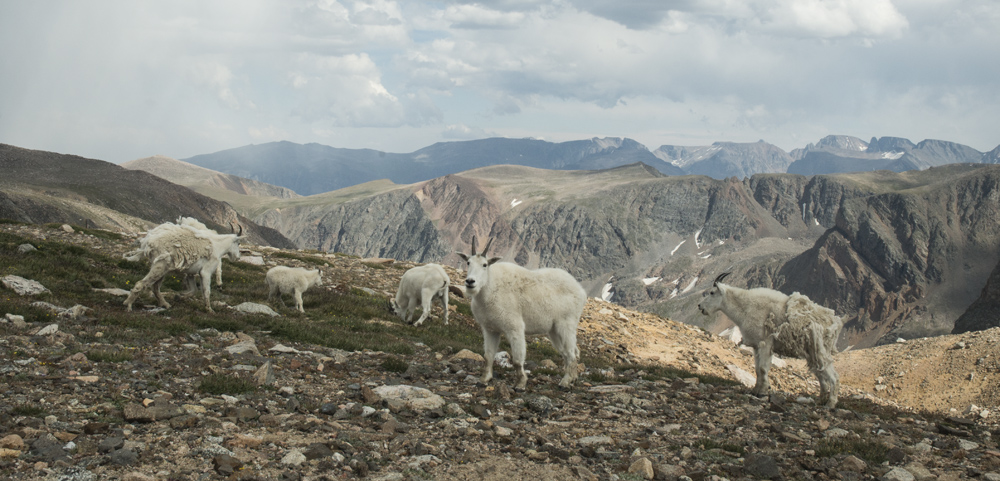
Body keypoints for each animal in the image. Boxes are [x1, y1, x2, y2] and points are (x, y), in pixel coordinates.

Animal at [458, 236, 588, 390]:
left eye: (484, 265)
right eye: (468, 262)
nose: (470, 282)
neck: (489, 288)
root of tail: (581, 291)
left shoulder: (514, 327)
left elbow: (517, 360)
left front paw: (520, 383)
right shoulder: (490, 329)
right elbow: (488, 355)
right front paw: (484, 379)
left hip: (566, 324)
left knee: (570, 353)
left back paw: (565, 382)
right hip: (554, 330)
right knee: (570, 352)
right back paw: (572, 378)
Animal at [696, 272, 844, 406]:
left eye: (712, 292)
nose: (700, 306)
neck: (745, 307)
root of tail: (835, 323)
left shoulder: (765, 344)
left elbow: (763, 368)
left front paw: (762, 392)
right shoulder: (756, 346)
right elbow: (757, 369)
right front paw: (755, 390)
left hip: (821, 350)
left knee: (834, 376)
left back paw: (830, 404)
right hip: (812, 352)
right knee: (821, 374)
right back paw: (821, 400)